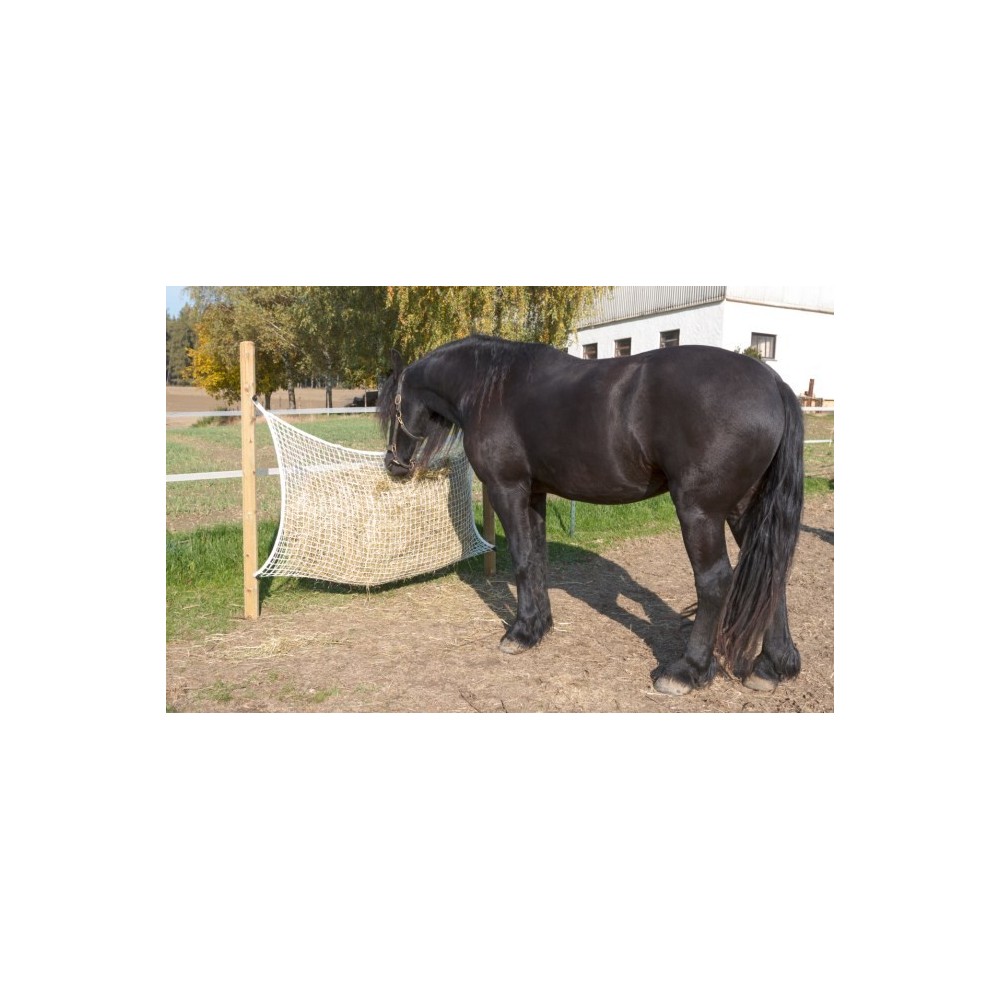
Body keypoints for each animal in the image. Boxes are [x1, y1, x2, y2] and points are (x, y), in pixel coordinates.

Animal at [378, 335, 804, 696]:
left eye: (392, 406)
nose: (392, 464)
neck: (491, 389)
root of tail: (773, 383)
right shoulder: (534, 493)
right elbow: (537, 558)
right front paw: (539, 627)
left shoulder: (507, 489)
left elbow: (521, 558)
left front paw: (519, 633)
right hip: (744, 508)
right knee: (773, 572)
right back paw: (772, 666)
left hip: (701, 512)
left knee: (715, 581)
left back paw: (687, 670)